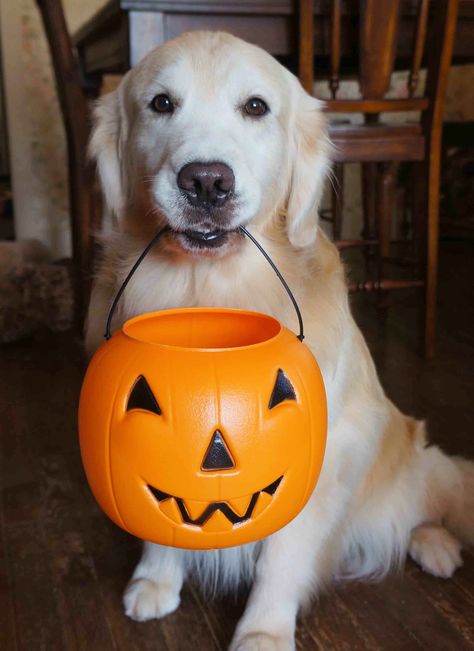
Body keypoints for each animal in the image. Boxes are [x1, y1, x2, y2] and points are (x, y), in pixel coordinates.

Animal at [86, 31, 474, 651]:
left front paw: (264, 631)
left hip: (413, 454)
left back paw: (436, 544)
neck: (210, 289)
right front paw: (156, 579)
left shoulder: (325, 451)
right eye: (161, 104)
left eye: (255, 107)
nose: (206, 182)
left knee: (424, 503)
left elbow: (282, 557)